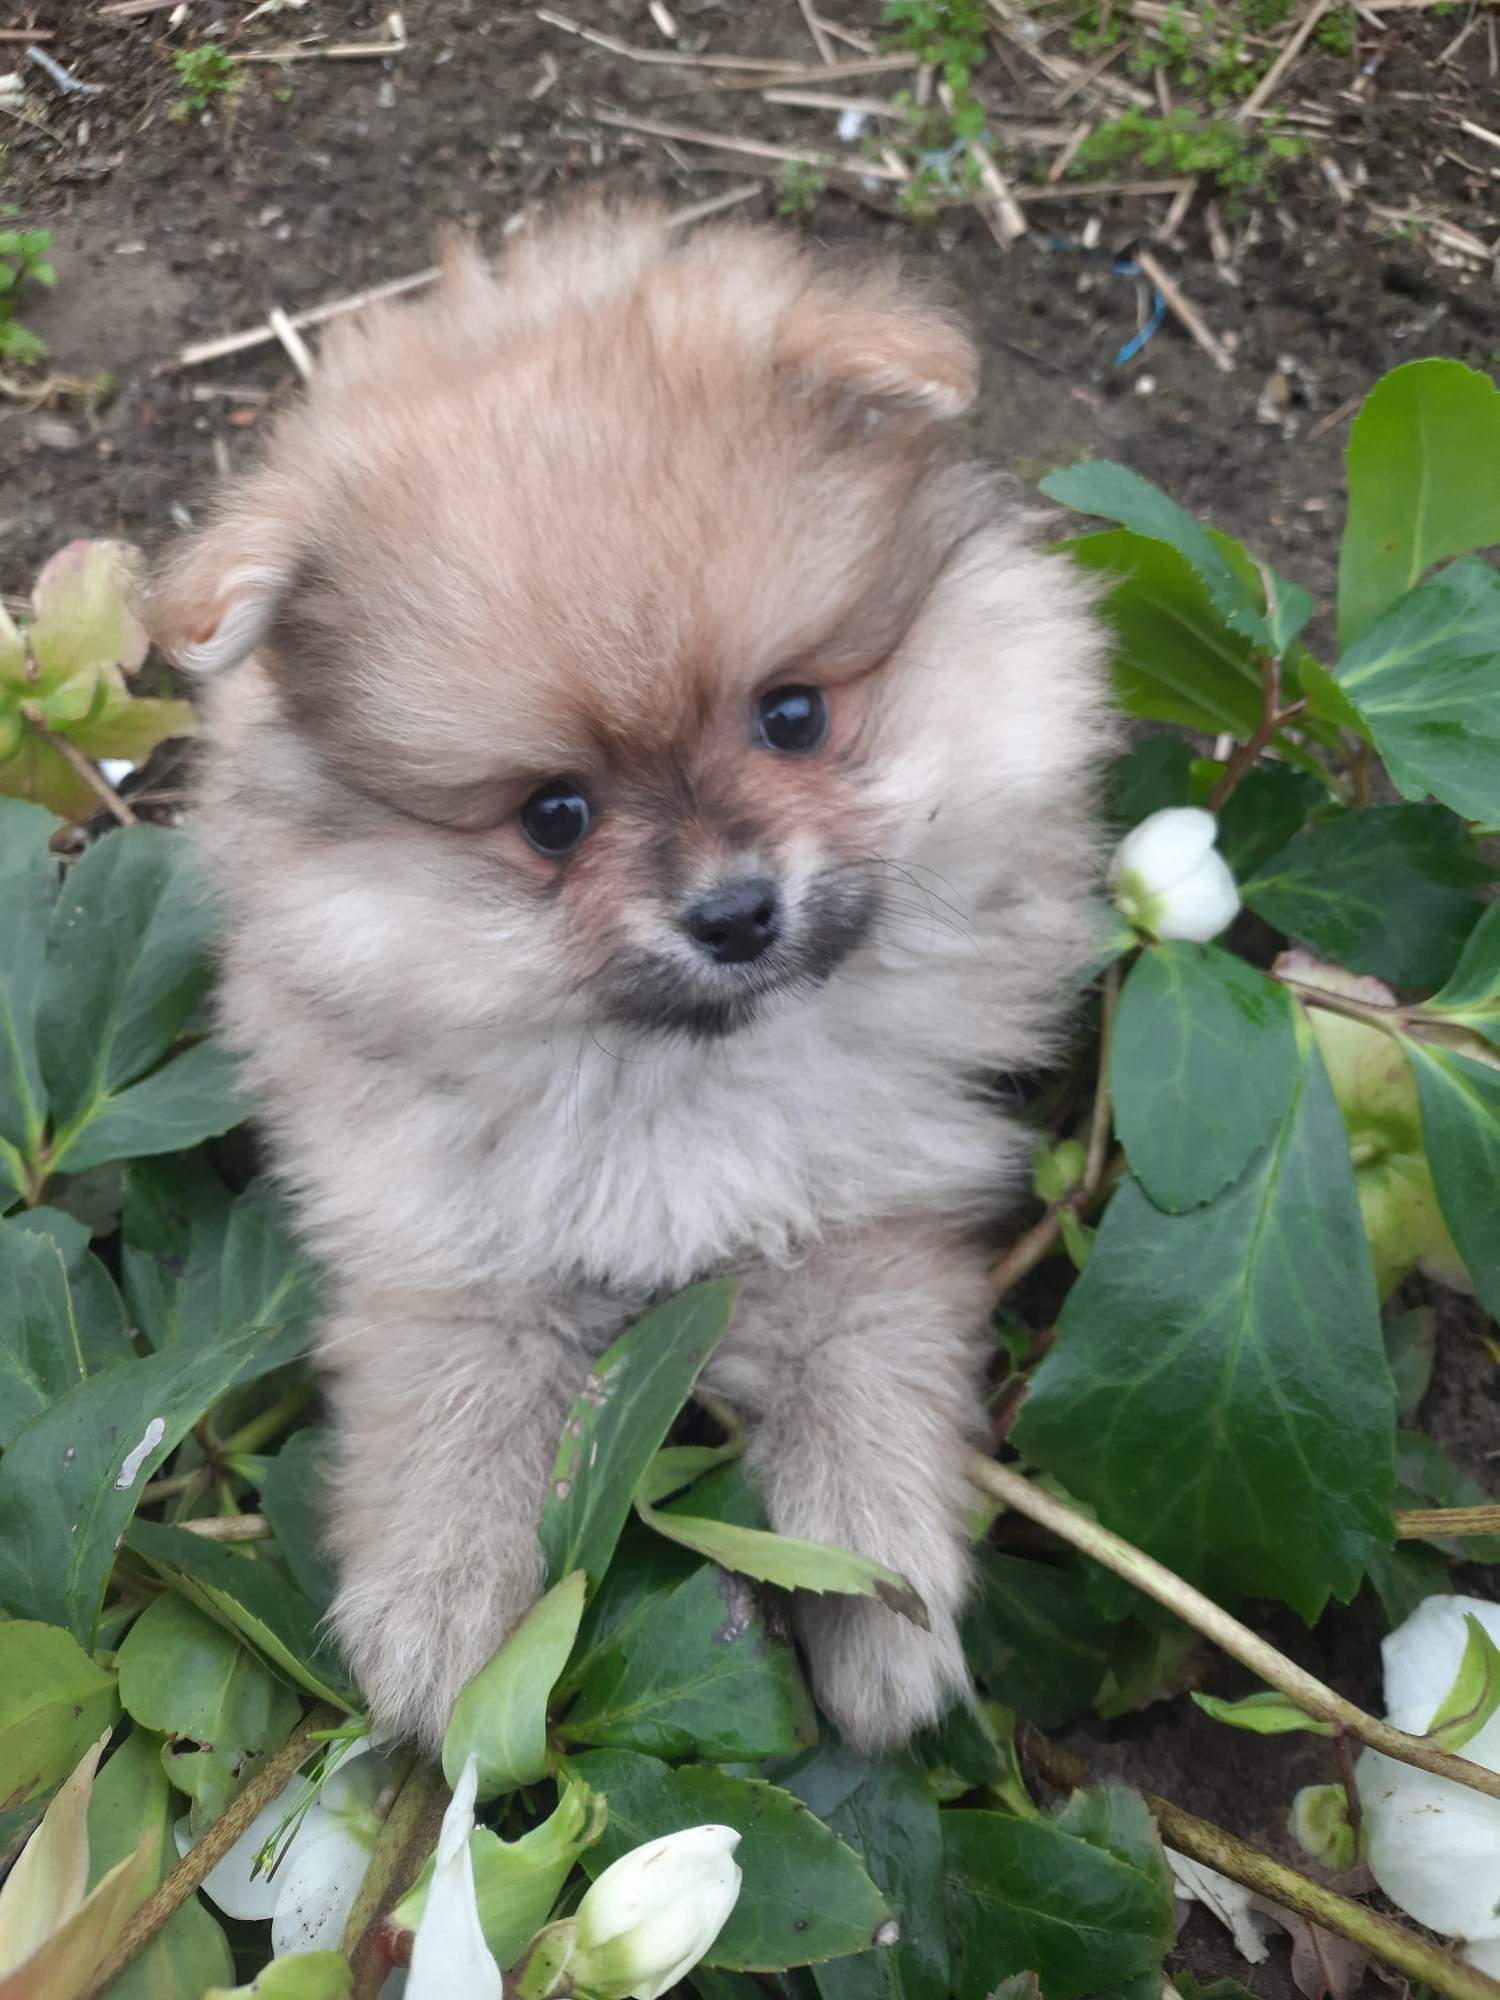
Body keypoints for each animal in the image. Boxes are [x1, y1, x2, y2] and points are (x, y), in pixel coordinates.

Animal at [152, 205, 1112, 1753]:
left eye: (794, 715)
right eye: (555, 815)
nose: (734, 911)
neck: (683, 1068)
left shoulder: (872, 1192)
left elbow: (870, 1374)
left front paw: (883, 1602)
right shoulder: (445, 1222)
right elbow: (452, 1393)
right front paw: (442, 1620)